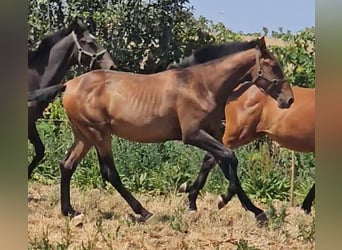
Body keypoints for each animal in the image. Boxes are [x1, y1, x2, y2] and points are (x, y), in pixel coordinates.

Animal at [27, 37, 294, 223]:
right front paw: (246, 207)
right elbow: (229, 158)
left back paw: (69, 211)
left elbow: (221, 162)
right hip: (99, 134)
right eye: (274, 66)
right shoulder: (193, 135)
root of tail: (69, 84)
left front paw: (238, 206)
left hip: (85, 135)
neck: (202, 85)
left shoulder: (213, 134)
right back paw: (144, 212)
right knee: (109, 172)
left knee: (67, 165)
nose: (289, 100)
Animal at [168, 40, 316, 213]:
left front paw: (305, 206)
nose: (289, 99)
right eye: (273, 66)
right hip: (236, 134)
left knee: (214, 158)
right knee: (214, 157)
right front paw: (305, 207)